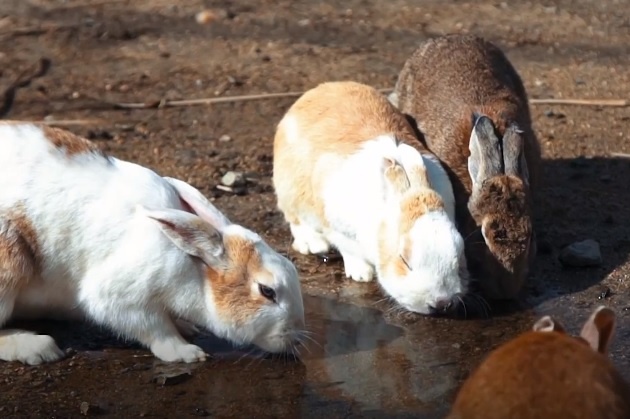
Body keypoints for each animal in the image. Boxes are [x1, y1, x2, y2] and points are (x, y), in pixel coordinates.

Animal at [0, 121, 306, 364]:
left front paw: (187, 328)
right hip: (9, 266)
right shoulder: (122, 299)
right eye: (267, 291)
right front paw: (186, 352)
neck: (193, 267)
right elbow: (154, 328)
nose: (296, 337)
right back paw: (38, 347)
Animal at [274, 81, 472, 316]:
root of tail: (316, 91)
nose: (441, 303)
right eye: (404, 260)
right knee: (295, 221)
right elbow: (350, 250)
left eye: (459, 255)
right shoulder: (338, 228)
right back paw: (314, 244)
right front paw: (361, 274)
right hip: (291, 194)